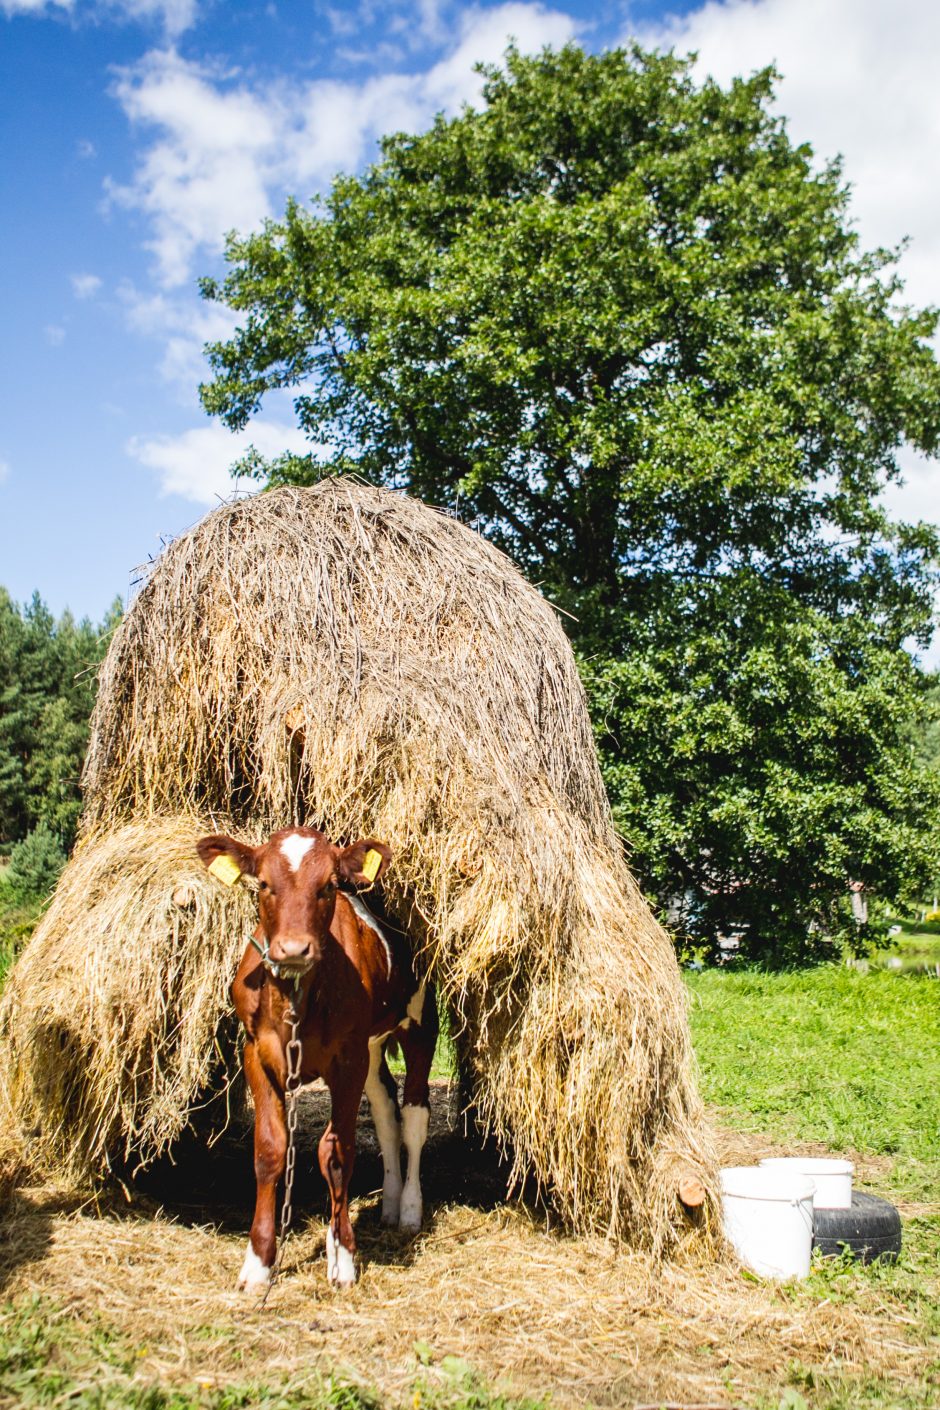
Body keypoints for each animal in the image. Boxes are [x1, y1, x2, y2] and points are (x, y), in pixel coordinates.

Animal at [198, 823, 436, 1291]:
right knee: (385, 1112)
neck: (296, 999)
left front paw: (342, 1255)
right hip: (372, 1046)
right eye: (263, 884)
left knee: (414, 1117)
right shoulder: (256, 1053)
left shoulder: (347, 1058)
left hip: (420, 1023)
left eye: (327, 885)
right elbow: (270, 1150)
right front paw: (259, 1261)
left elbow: (337, 1153)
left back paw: (409, 1209)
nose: (293, 949)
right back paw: (389, 1202)